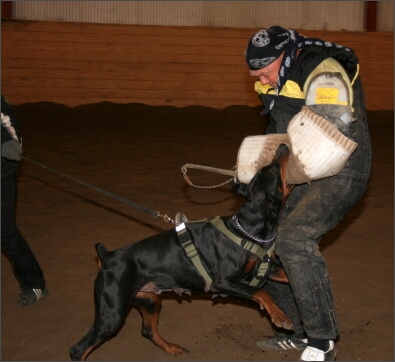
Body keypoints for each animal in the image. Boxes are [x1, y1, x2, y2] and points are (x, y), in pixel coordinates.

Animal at [70, 144, 294, 360]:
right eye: (272, 170)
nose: (283, 146)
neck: (247, 229)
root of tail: (106, 256)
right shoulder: (222, 281)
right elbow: (261, 292)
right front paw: (280, 317)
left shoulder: (265, 269)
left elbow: (285, 275)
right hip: (112, 313)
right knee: (78, 349)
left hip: (149, 299)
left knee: (148, 331)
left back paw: (172, 348)